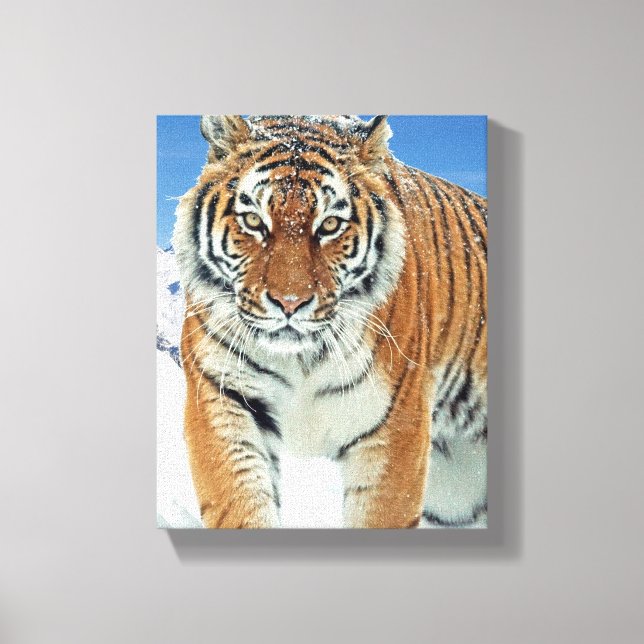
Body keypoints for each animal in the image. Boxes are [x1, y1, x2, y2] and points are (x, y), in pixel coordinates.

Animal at [172, 115, 487, 529]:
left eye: (330, 225)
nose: (289, 303)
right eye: (254, 220)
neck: (301, 360)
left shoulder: (394, 425)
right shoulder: (221, 397)